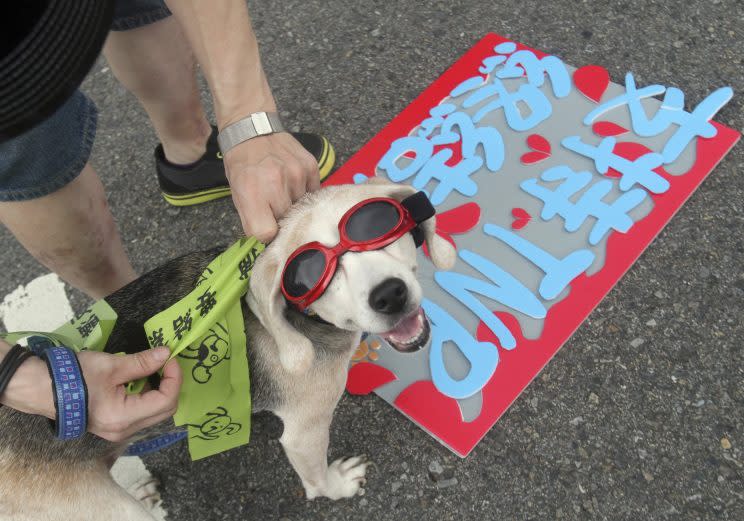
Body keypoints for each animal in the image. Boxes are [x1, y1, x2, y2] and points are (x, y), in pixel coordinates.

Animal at [0, 177, 454, 516]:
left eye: (378, 224)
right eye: (310, 276)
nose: (389, 295)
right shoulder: (304, 431)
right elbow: (316, 480)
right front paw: (339, 485)